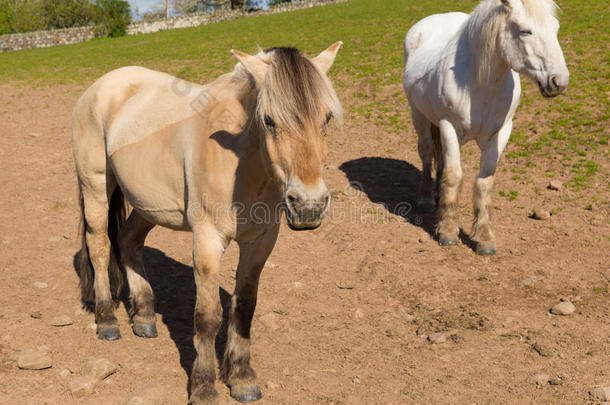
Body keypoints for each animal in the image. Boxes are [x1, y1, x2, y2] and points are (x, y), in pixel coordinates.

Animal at [71, 42, 342, 402]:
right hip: (96, 187)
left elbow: (244, 308)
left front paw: (242, 379)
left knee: (128, 241)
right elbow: (208, 316)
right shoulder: (207, 241)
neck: (242, 163)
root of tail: (100, 86)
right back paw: (107, 321)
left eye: (326, 118)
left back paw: (144, 317)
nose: (309, 205)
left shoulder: (260, 243)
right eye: (269, 120)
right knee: (100, 247)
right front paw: (203, 386)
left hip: (147, 205)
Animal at [402, 0, 568, 254]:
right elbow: (454, 176)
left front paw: (484, 238)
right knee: (427, 154)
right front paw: (447, 232)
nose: (558, 81)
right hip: (419, 116)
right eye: (525, 31)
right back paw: (426, 198)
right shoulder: (449, 126)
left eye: (556, 28)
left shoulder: (500, 133)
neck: (480, 86)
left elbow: (484, 182)